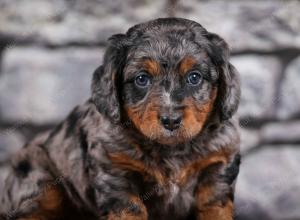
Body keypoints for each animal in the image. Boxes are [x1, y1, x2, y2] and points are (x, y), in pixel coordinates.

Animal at [0, 17, 240, 220]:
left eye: (194, 77)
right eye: (142, 79)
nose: (171, 120)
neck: (170, 149)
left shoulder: (219, 164)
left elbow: (214, 207)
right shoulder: (114, 169)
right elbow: (129, 209)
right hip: (38, 177)